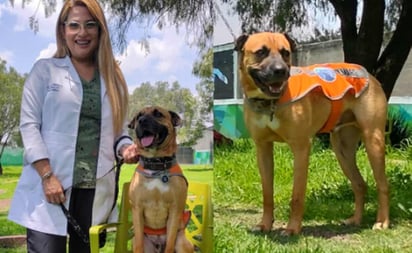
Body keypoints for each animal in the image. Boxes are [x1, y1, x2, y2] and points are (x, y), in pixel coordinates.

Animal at [128, 105, 194, 253]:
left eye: (158, 114)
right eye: (138, 116)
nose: (142, 120)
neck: (156, 166)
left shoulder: (175, 210)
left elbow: (169, 245)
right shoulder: (137, 209)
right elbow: (139, 243)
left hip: (182, 243)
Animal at [235, 31, 390, 235]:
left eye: (285, 52)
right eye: (261, 52)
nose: (280, 71)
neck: (270, 102)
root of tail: (370, 76)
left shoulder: (301, 148)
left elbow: (297, 195)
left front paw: (292, 229)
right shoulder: (263, 148)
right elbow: (267, 193)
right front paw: (264, 225)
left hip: (373, 140)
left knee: (382, 185)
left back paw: (382, 222)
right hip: (343, 150)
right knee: (360, 184)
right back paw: (355, 219)